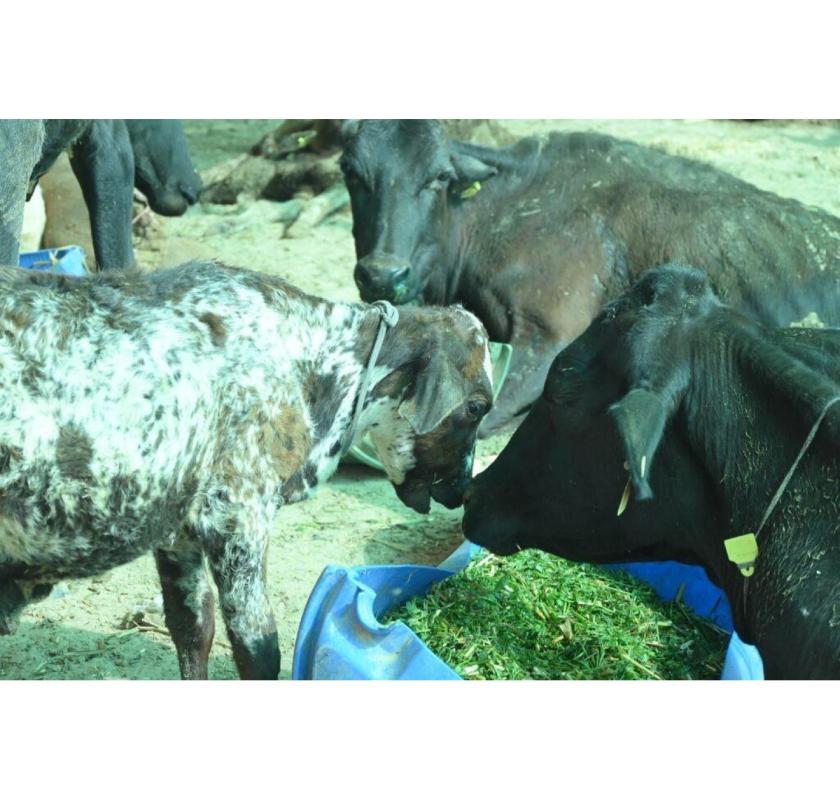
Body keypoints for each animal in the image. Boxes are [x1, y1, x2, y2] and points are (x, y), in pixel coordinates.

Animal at [0, 261, 493, 679]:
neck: (312, 363)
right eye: (476, 407)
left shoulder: (176, 528)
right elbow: (258, 648)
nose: (463, 490)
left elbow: (193, 627)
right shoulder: (237, 511)